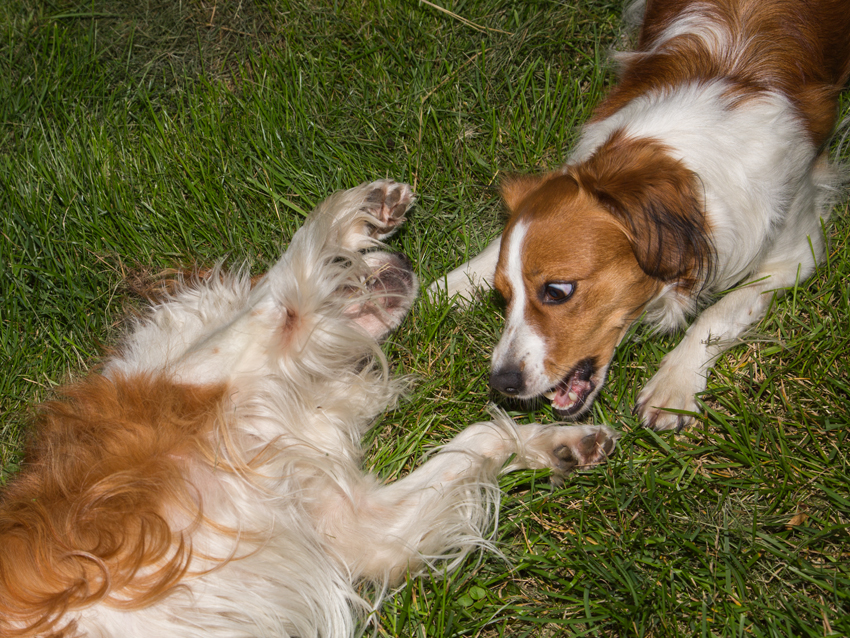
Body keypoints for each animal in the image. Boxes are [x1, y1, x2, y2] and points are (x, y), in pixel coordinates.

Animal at [430, 0, 848, 432]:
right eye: (504, 295)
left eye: (557, 291)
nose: (501, 382)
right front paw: (456, 282)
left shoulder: (799, 250)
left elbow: (723, 310)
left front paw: (675, 382)